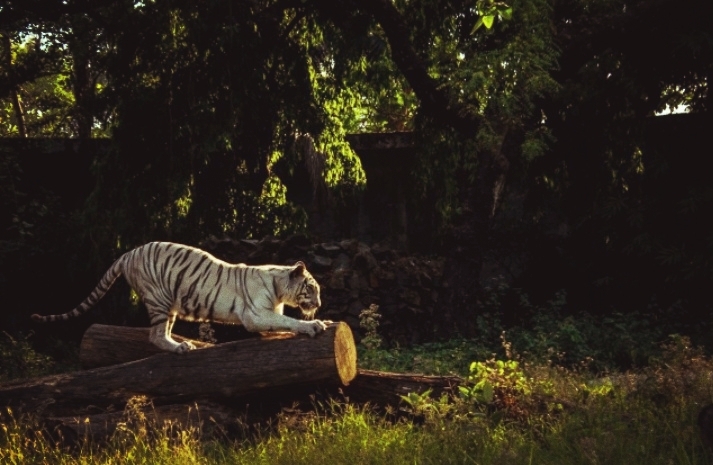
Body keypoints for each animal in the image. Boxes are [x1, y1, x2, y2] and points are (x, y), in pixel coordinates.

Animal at [31, 241, 327, 354]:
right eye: (311, 289)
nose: (319, 304)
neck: (280, 287)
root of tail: (127, 253)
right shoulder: (255, 315)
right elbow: (289, 321)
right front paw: (314, 325)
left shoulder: (267, 314)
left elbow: (281, 323)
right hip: (159, 299)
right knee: (155, 335)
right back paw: (180, 347)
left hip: (169, 304)